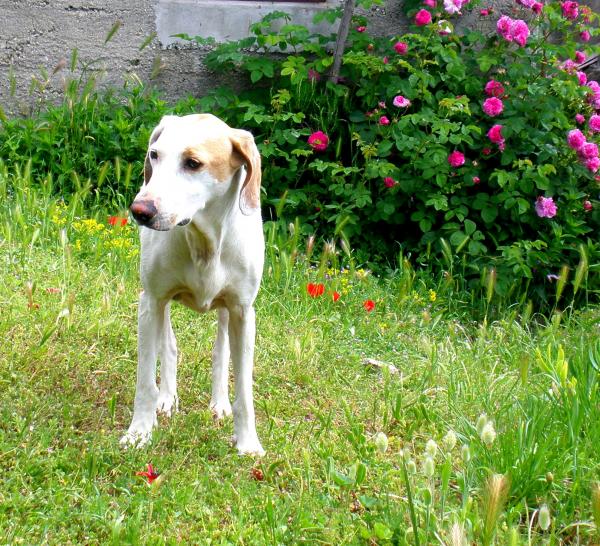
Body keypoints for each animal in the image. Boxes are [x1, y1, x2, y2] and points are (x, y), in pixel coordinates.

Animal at [120, 113, 265, 456]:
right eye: (154, 155)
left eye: (193, 163)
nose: (140, 211)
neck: (204, 242)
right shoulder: (151, 301)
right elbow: (145, 380)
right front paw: (139, 432)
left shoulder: (243, 311)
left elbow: (244, 389)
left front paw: (248, 442)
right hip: (159, 303)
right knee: (169, 344)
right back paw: (166, 399)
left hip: (227, 311)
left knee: (221, 348)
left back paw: (219, 403)